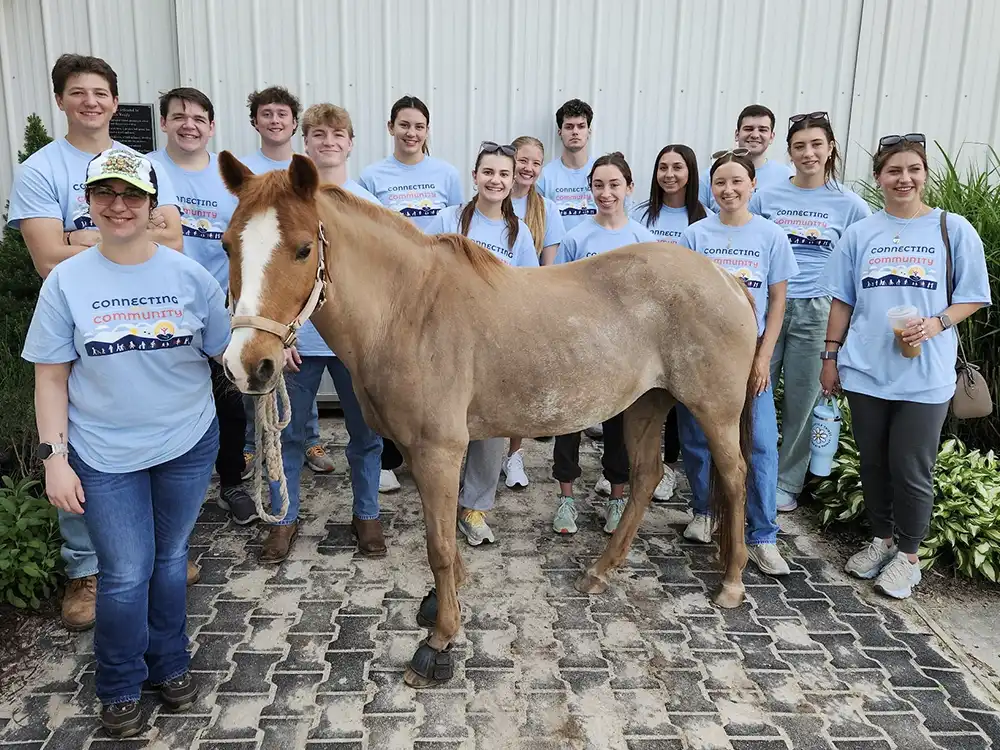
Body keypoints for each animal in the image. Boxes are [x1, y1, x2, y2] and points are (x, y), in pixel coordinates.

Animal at [216, 151, 759, 689]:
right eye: (226, 245)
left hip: (714, 411)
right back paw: (601, 571)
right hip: (648, 403)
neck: (408, 310)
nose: (249, 364)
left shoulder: (438, 450)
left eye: (304, 249)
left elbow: (437, 544)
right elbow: (445, 539)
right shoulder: (420, 450)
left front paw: (439, 642)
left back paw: (732, 582)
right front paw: (444, 598)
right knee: (646, 477)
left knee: (735, 477)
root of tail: (728, 281)